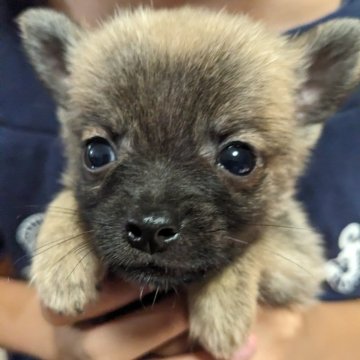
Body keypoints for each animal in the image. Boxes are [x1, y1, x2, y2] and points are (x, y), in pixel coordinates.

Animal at [19, 7, 360, 358]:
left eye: (238, 159)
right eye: (96, 153)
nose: (150, 229)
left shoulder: (299, 263)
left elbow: (256, 240)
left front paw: (223, 306)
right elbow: (66, 197)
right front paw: (60, 263)